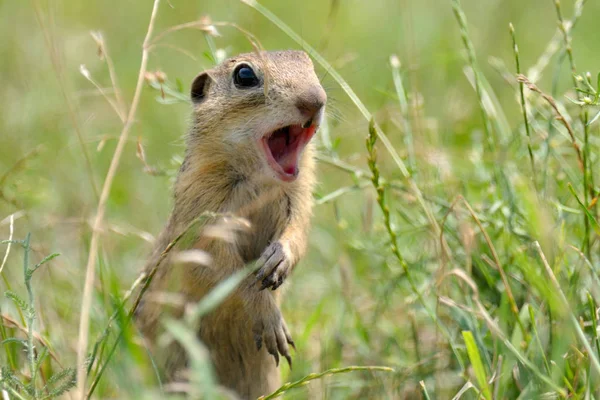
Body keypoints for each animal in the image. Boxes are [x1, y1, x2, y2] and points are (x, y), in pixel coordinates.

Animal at [135, 51, 326, 398]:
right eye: (245, 75)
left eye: (309, 64)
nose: (315, 100)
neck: (259, 179)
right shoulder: (203, 210)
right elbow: (222, 267)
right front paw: (269, 317)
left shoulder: (299, 199)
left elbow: (298, 233)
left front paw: (279, 258)